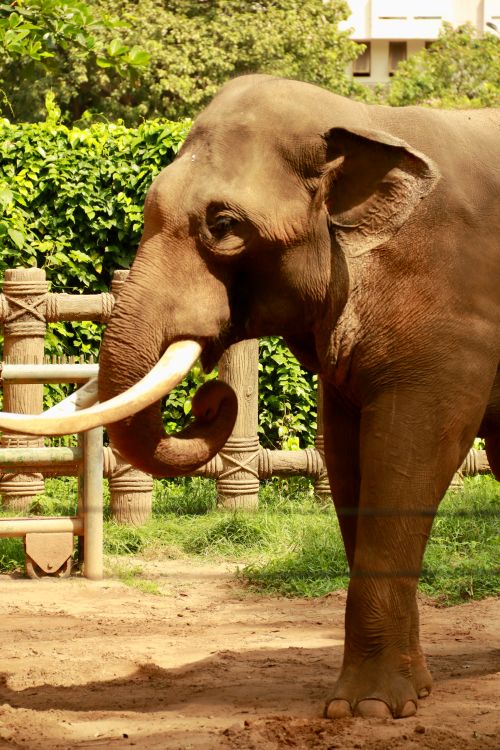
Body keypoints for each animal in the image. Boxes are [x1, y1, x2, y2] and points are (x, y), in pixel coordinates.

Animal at [0, 74, 498, 720]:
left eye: (224, 225)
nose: (210, 400)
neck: (365, 118)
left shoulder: (452, 319)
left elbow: (408, 457)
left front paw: (365, 710)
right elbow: (348, 461)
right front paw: (408, 694)